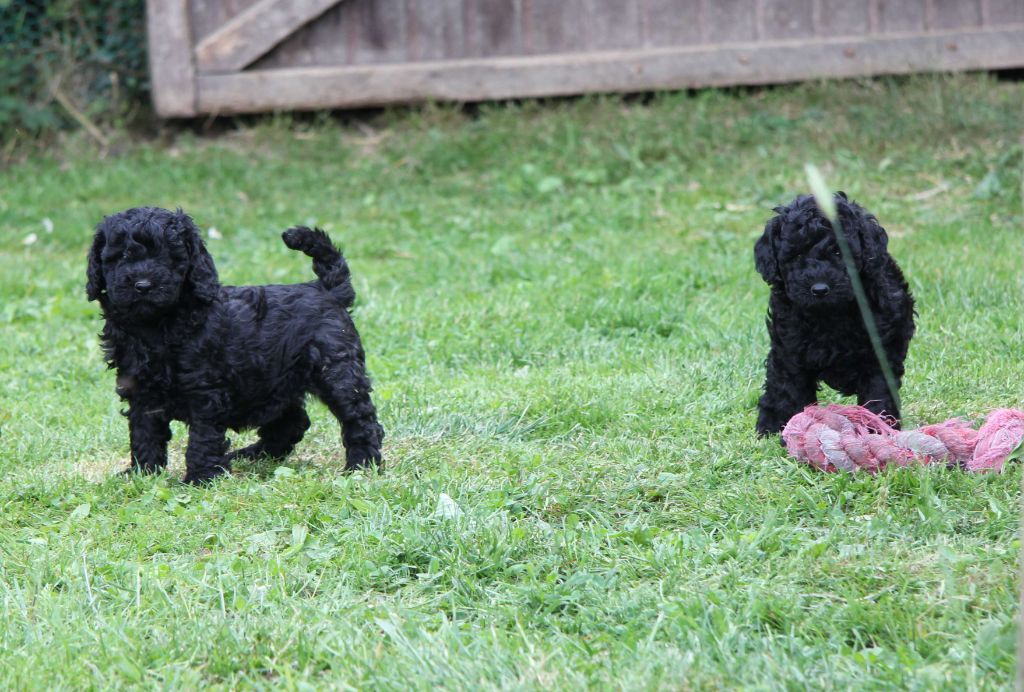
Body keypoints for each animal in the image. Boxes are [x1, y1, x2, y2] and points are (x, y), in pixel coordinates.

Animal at [87, 207, 385, 483]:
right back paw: (252, 455)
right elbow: (144, 432)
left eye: (169, 257)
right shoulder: (140, 389)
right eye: (122, 256)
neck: (157, 325)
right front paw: (143, 473)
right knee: (292, 422)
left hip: (337, 371)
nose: (143, 285)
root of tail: (326, 289)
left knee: (359, 419)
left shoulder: (205, 390)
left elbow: (203, 437)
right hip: (275, 378)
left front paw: (201, 478)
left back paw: (361, 465)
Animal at [753, 191, 913, 436]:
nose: (819, 289)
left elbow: (878, 391)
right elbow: (788, 387)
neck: (830, 315)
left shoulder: (880, 350)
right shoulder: (789, 348)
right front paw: (783, 426)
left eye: (839, 252)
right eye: (796, 255)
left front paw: (876, 428)